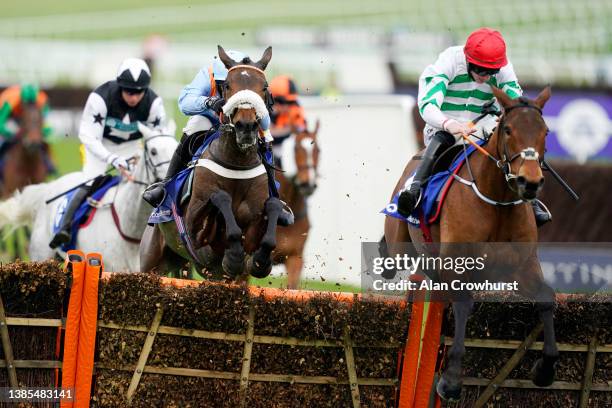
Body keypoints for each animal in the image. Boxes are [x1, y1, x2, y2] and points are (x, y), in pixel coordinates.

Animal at [388, 87, 560, 402]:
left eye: (545, 131)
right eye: (508, 129)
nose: (529, 182)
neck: (498, 202)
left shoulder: (522, 266)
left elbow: (545, 297)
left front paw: (545, 369)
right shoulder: (457, 267)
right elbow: (463, 305)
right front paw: (450, 381)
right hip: (399, 243)